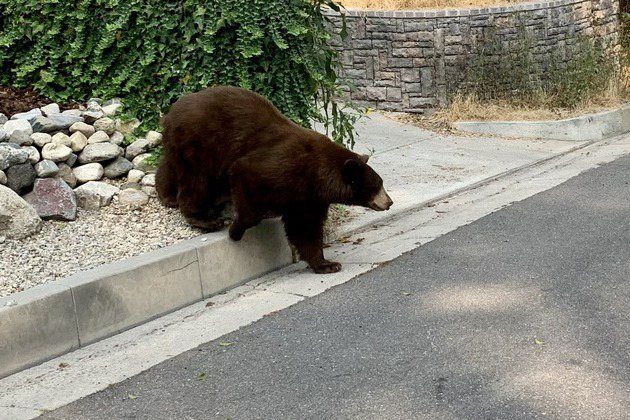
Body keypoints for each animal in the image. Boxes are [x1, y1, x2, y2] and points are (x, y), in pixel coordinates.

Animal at [157, 86, 396, 276]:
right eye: (377, 184)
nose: (389, 202)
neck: (317, 175)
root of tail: (170, 112)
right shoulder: (281, 167)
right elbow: (245, 178)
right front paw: (235, 231)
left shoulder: (308, 197)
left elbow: (305, 227)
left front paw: (327, 264)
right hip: (201, 143)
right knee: (197, 181)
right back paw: (205, 219)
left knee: (171, 167)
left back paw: (167, 196)